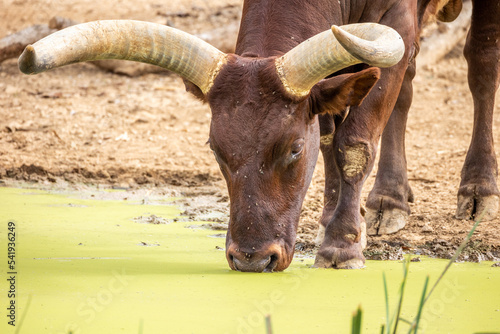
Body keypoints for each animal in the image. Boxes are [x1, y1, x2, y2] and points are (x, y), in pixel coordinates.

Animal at [16, 0, 468, 272]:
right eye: (216, 150)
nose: (253, 259)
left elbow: (353, 143)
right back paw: (389, 200)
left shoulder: (397, 17)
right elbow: (328, 135)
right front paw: (334, 223)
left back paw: (469, 192)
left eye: (293, 149)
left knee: (477, 59)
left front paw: (341, 247)